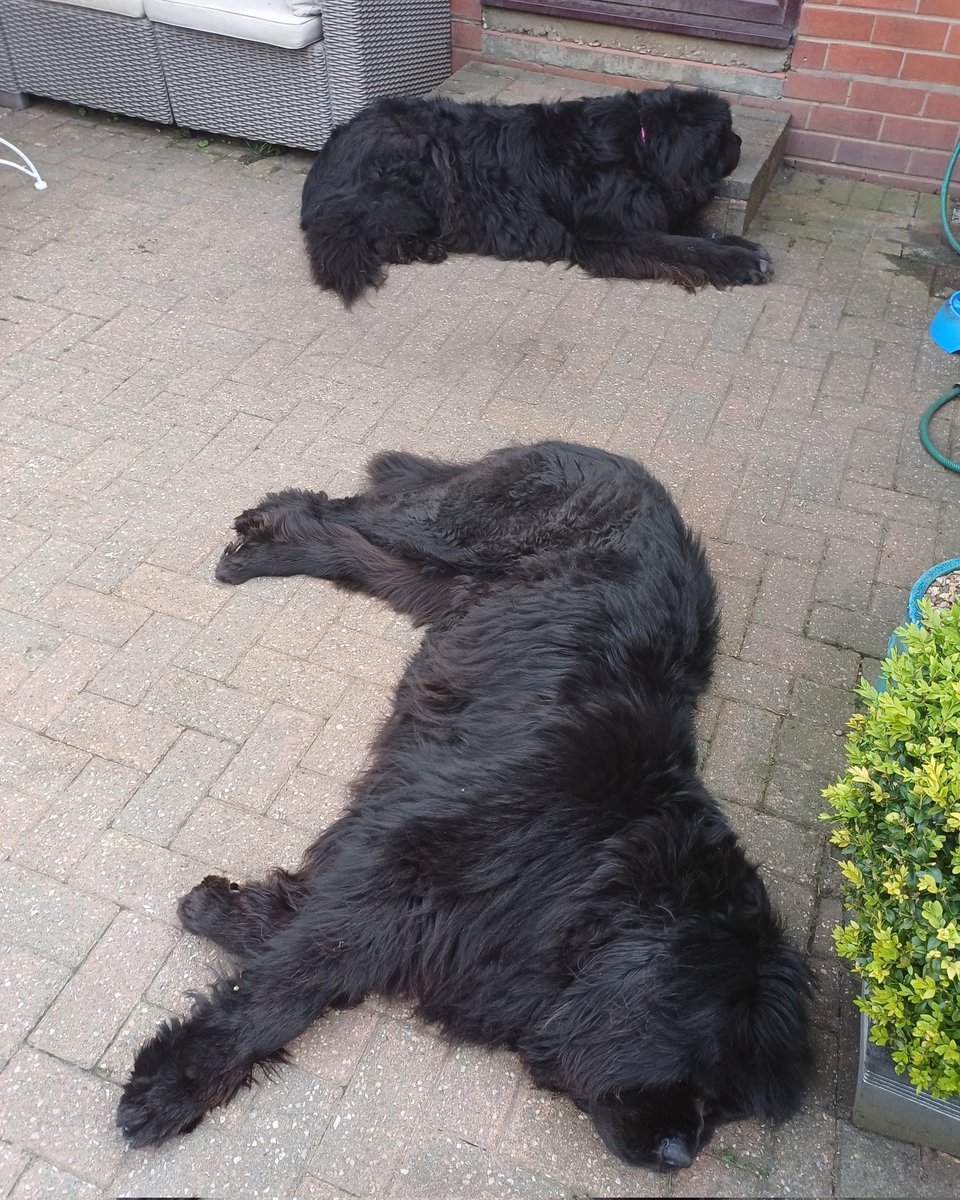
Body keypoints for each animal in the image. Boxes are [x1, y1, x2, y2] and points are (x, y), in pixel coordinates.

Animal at [118, 441, 811, 1171]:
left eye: (728, 1110)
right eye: (703, 1066)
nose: (679, 1156)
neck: (597, 860)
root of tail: (613, 458)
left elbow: (308, 931)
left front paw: (225, 909)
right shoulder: (410, 859)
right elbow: (300, 976)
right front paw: (174, 1084)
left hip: (445, 583)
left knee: (350, 547)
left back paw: (264, 548)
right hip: (451, 531)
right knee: (343, 510)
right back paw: (262, 529)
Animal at [300, 85, 772, 304]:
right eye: (725, 136)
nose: (741, 142)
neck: (639, 145)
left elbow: (698, 232)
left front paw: (743, 247)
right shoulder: (609, 234)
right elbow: (682, 246)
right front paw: (741, 263)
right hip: (426, 166)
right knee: (370, 229)